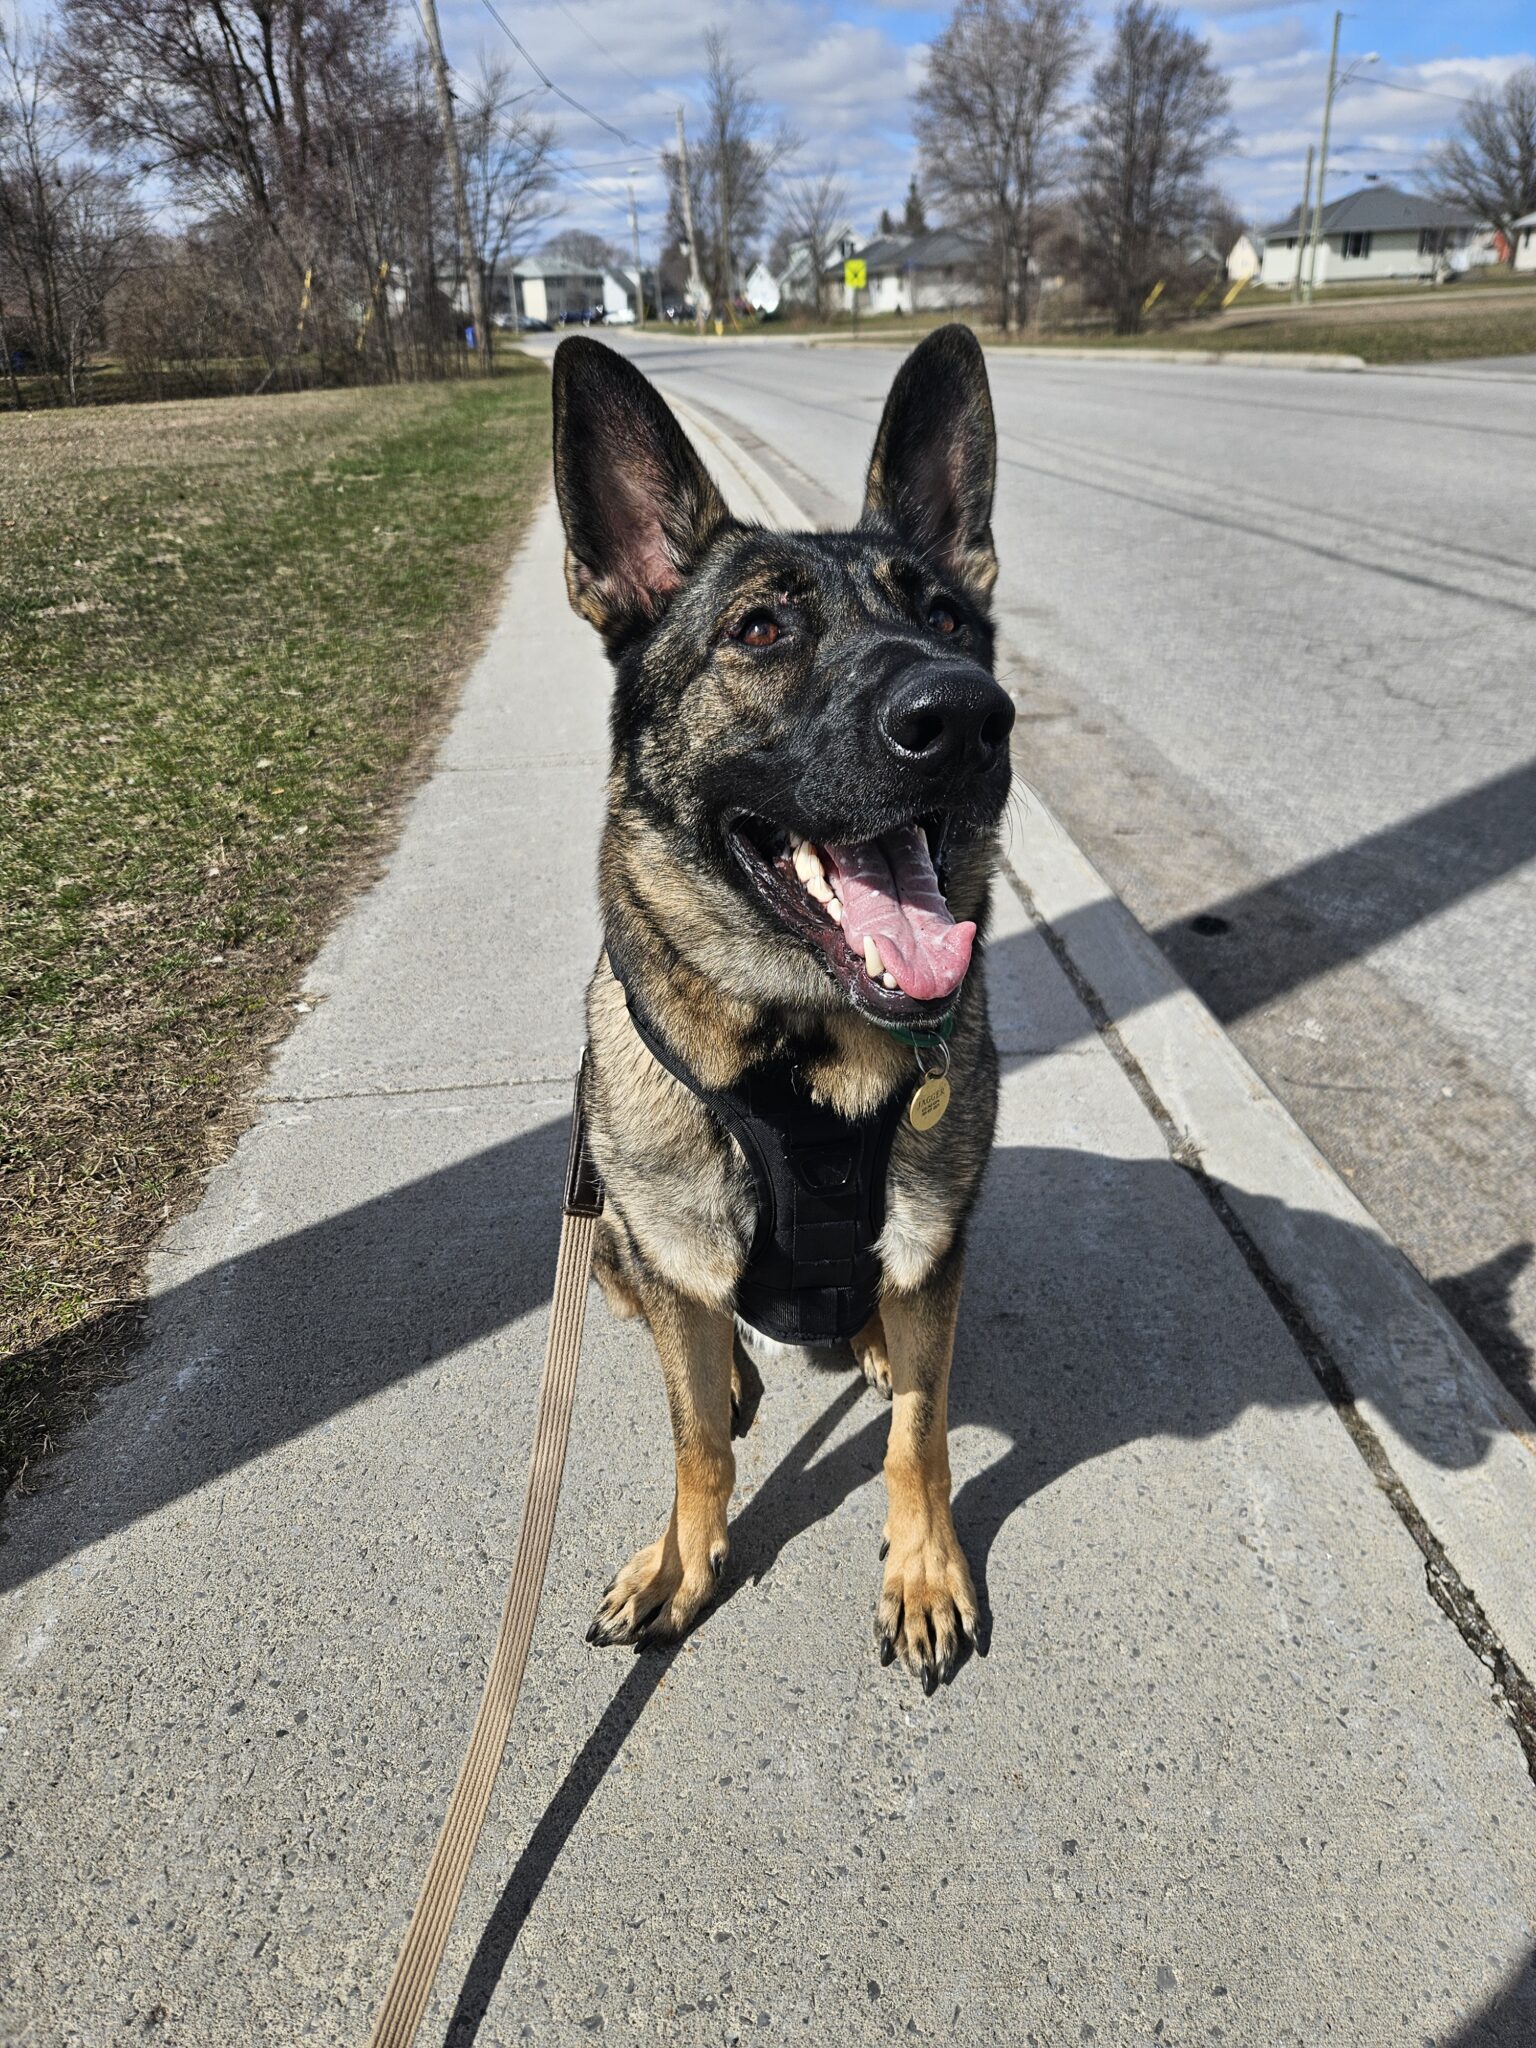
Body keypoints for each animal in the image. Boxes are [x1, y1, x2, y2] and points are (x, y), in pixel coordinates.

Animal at [548, 327, 1015, 1687]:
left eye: (948, 617)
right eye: (758, 628)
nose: (965, 714)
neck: (808, 1056)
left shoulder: (932, 1249)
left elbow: (920, 1429)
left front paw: (924, 1565)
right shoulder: (669, 1246)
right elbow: (696, 1433)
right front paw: (685, 1558)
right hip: (607, 1222)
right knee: (683, 1336)